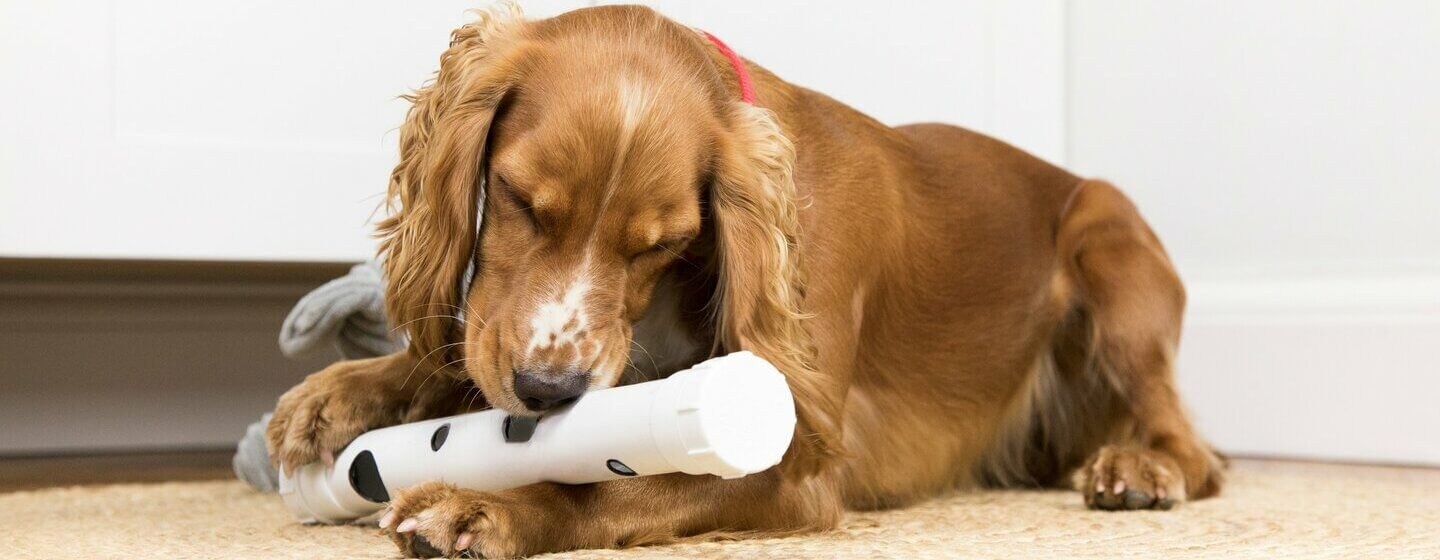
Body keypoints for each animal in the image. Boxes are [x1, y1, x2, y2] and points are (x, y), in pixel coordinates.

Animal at [264, 3, 1221, 552]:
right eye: (521, 200)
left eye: (664, 242)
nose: (546, 391)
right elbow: (464, 360)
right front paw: (348, 390)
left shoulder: (796, 461)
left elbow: (608, 480)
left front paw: (485, 508)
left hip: (1111, 253)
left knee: (1199, 451)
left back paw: (1142, 467)